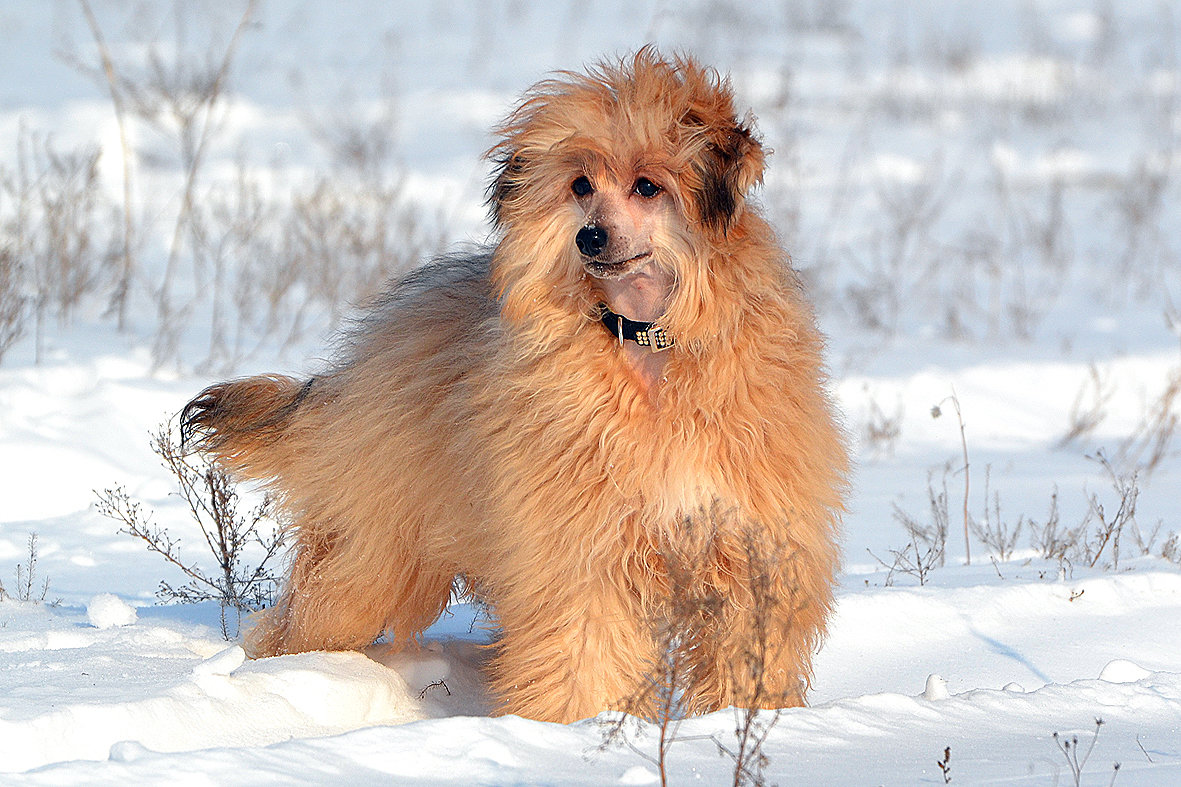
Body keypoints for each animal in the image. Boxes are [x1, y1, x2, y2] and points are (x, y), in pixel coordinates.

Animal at [181, 49, 850, 723]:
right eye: (580, 185)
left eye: (648, 185)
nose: (589, 237)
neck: (646, 344)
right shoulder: (579, 550)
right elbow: (582, 646)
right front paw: (574, 726)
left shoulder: (750, 544)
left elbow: (748, 639)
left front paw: (747, 718)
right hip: (374, 547)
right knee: (310, 612)